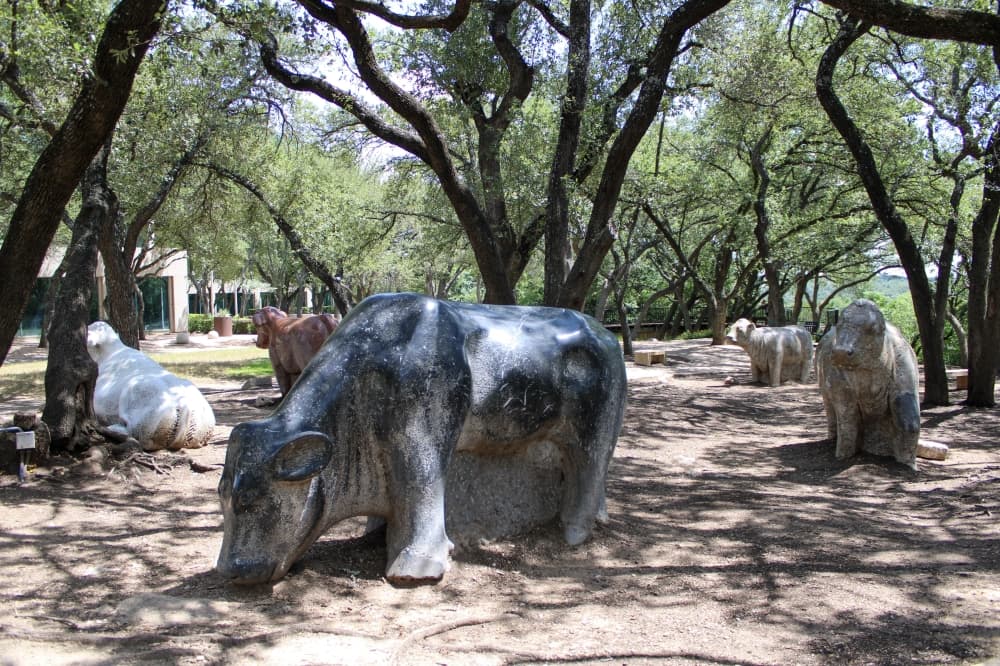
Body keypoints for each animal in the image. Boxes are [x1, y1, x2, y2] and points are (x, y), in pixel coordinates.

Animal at [217, 293, 627, 585]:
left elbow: (420, 491)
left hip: (598, 424)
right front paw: (375, 532)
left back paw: (575, 530)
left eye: (252, 501)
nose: (230, 569)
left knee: (588, 468)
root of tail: (606, 334)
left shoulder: (421, 436)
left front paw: (415, 566)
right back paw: (601, 516)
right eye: (222, 498)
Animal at [816, 299, 920, 469]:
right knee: (831, 410)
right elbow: (848, 420)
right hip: (824, 392)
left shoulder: (906, 379)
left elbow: (910, 423)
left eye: (873, 328)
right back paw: (833, 438)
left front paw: (909, 464)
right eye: (839, 325)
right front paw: (843, 455)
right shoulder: (840, 388)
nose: (840, 352)